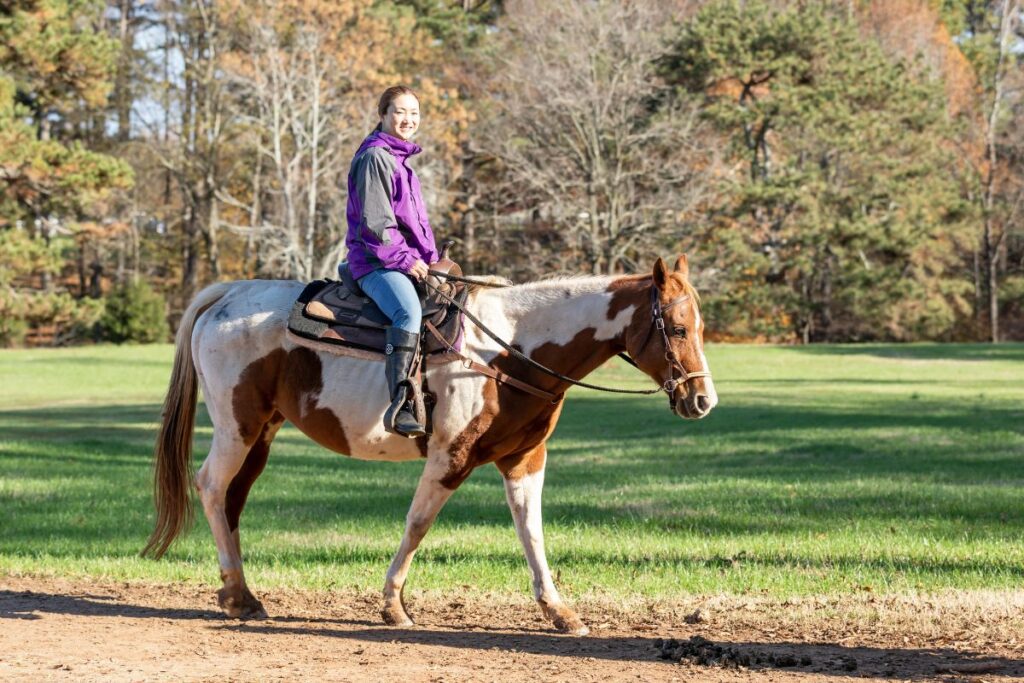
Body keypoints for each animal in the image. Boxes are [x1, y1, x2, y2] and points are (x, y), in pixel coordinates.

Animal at [142, 254, 717, 635]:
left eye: (700, 325)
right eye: (678, 328)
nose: (703, 400)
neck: (510, 348)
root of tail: (229, 294)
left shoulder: (524, 460)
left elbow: (531, 532)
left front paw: (559, 611)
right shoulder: (450, 457)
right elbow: (418, 524)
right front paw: (394, 605)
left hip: (262, 433)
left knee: (232, 500)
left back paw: (239, 595)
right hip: (236, 428)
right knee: (211, 488)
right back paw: (238, 594)